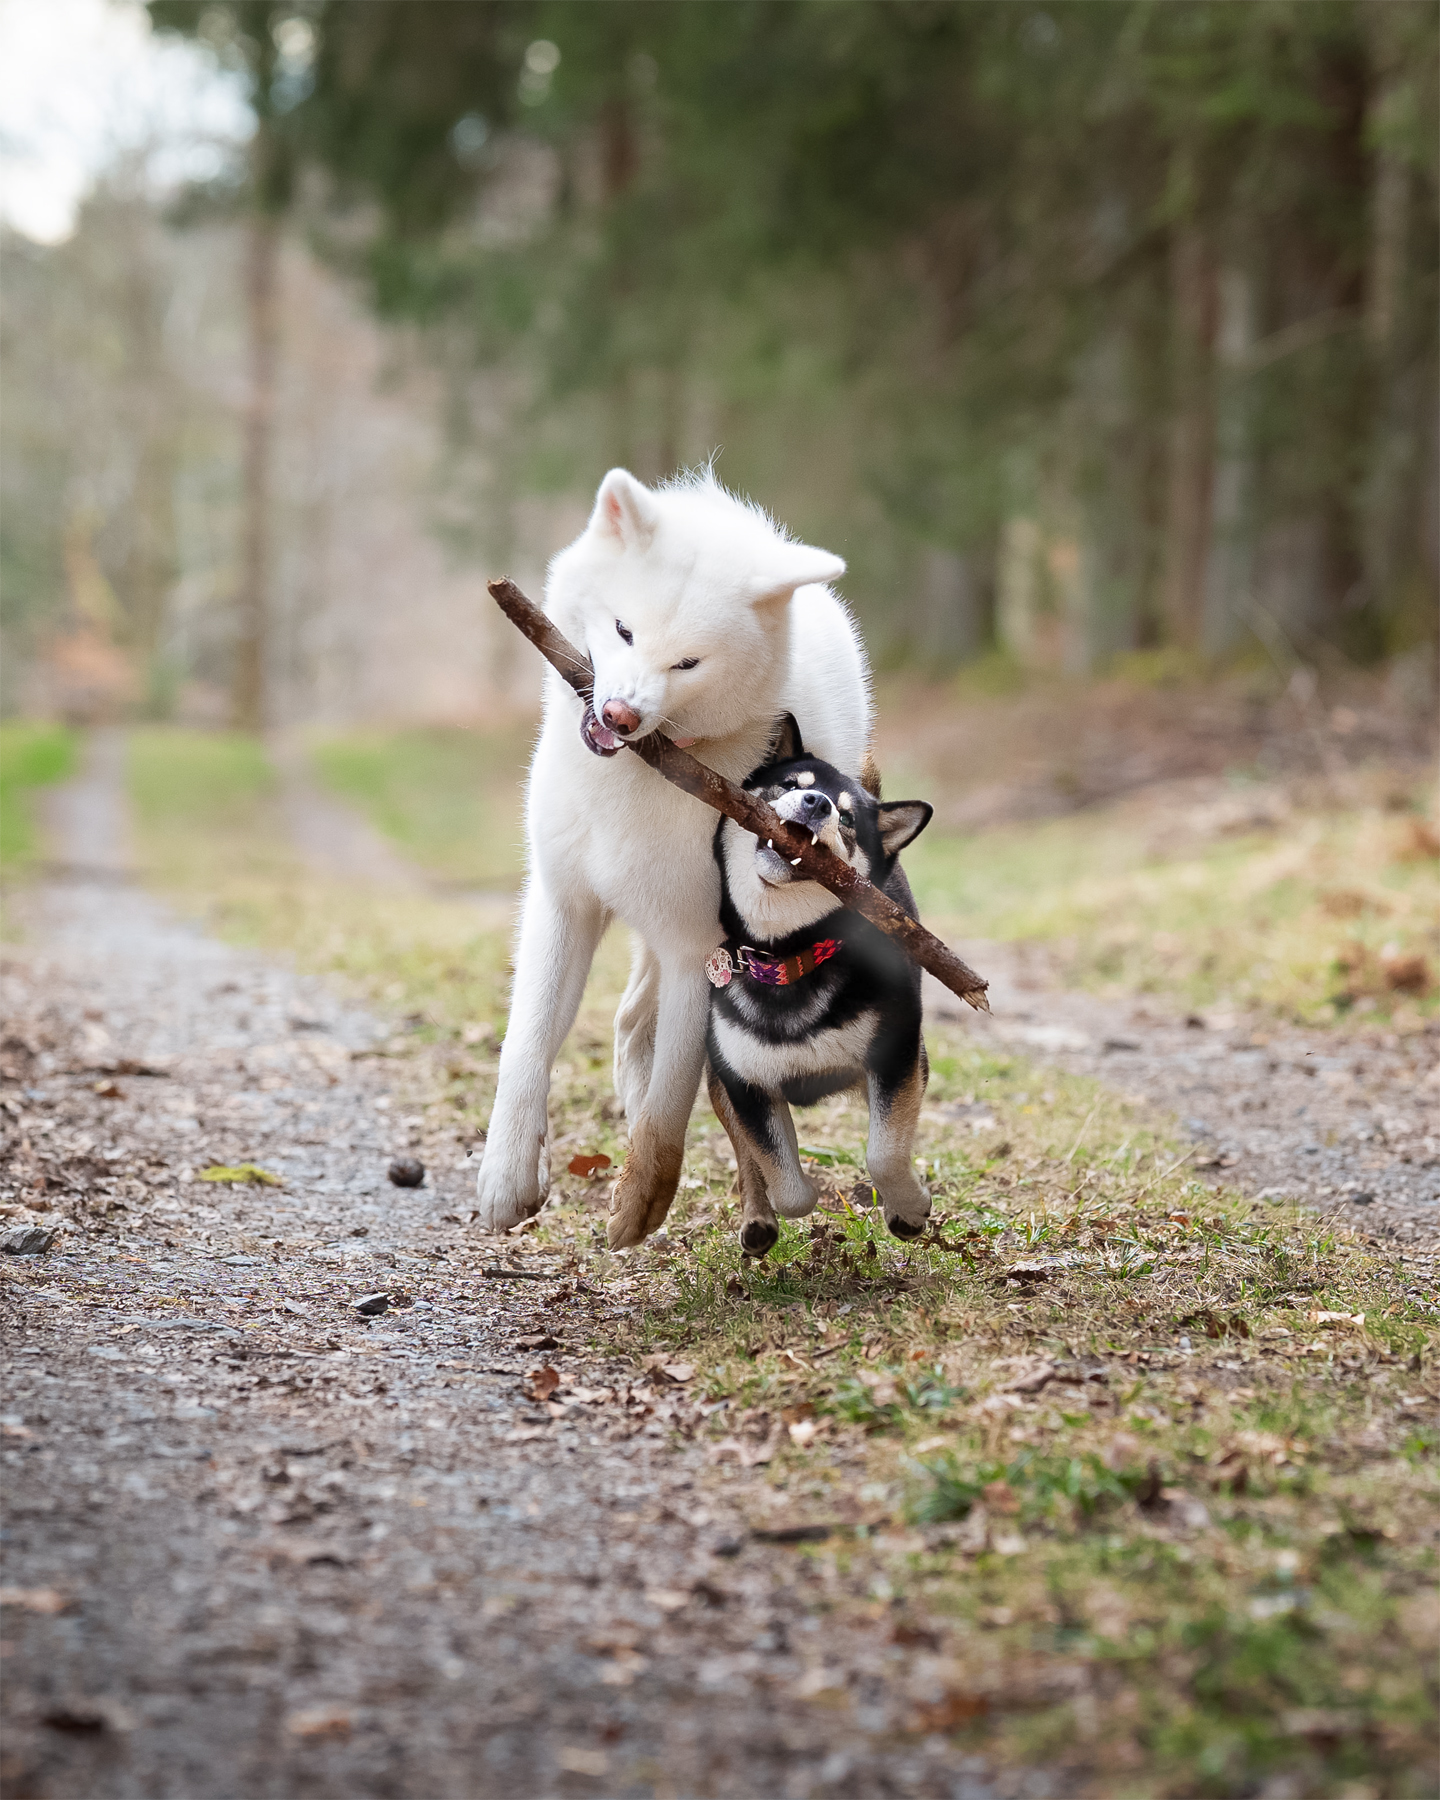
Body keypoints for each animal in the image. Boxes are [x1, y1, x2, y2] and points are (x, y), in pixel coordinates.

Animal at [474, 467, 873, 1247]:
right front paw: (508, 1178)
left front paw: (639, 1202)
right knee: (629, 1022)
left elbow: (670, 1104)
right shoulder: (563, 905)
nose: (621, 715)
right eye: (624, 630)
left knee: (652, 1036)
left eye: (687, 662)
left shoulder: (698, 950)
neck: (638, 774)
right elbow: (526, 1048)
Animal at [704, 714, 934, 1254]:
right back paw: (756, 1217)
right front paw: (789, 1199)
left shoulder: (896, 1057)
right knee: (744, 1156)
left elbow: (885, 1154)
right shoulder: (745, 1081)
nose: (817, 803)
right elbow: (784, 1183)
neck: (790, 957)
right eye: (791, 785)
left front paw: (909, 1209)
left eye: (847, 819)